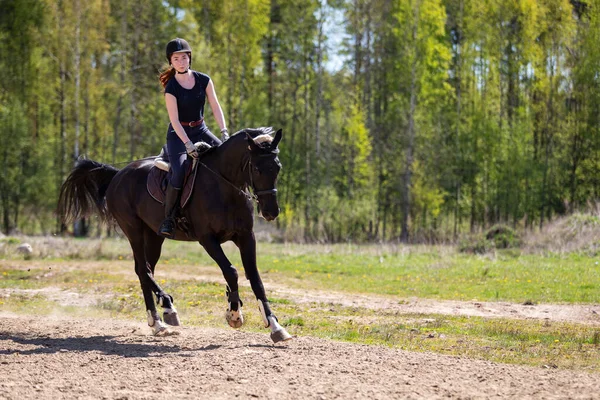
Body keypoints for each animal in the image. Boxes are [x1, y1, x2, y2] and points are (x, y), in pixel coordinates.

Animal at [57, 128, 292, 344]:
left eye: (278, 167)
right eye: (256, 168)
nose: (271, 212)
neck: (225, 186)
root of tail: (118, 174)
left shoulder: (246, 237)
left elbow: (255, 279)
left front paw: (274, 326)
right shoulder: (208, 239)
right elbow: (231, 272)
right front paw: (234, 314)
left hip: (154, 236)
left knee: (145, 270)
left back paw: (159, 320)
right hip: (133, 230)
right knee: (143, 270)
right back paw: (164, 310)